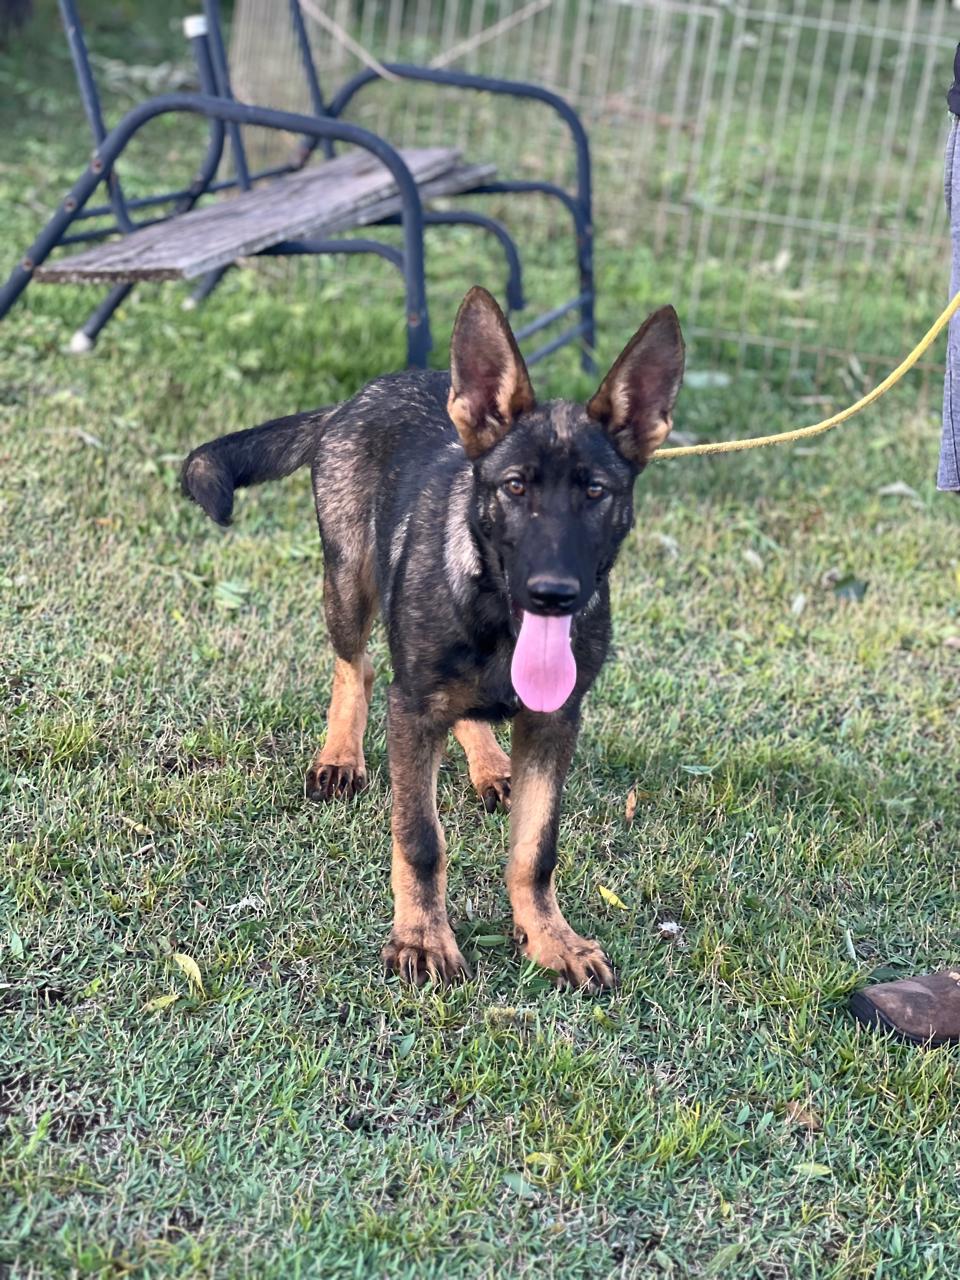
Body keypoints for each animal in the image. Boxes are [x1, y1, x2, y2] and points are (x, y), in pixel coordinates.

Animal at [181, 287, 685, 991]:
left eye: (595, 491)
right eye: (515, 487)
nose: (553, 595)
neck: (500, 621)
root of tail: (358, 397)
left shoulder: (554, 720)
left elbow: (536, 848)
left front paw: (549, 936)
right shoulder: (413, 712)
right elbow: (420, 838)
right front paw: (421, 938)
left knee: (466, 710)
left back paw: (491, 763)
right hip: (349, 580)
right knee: (357, 666)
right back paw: (341, 755)